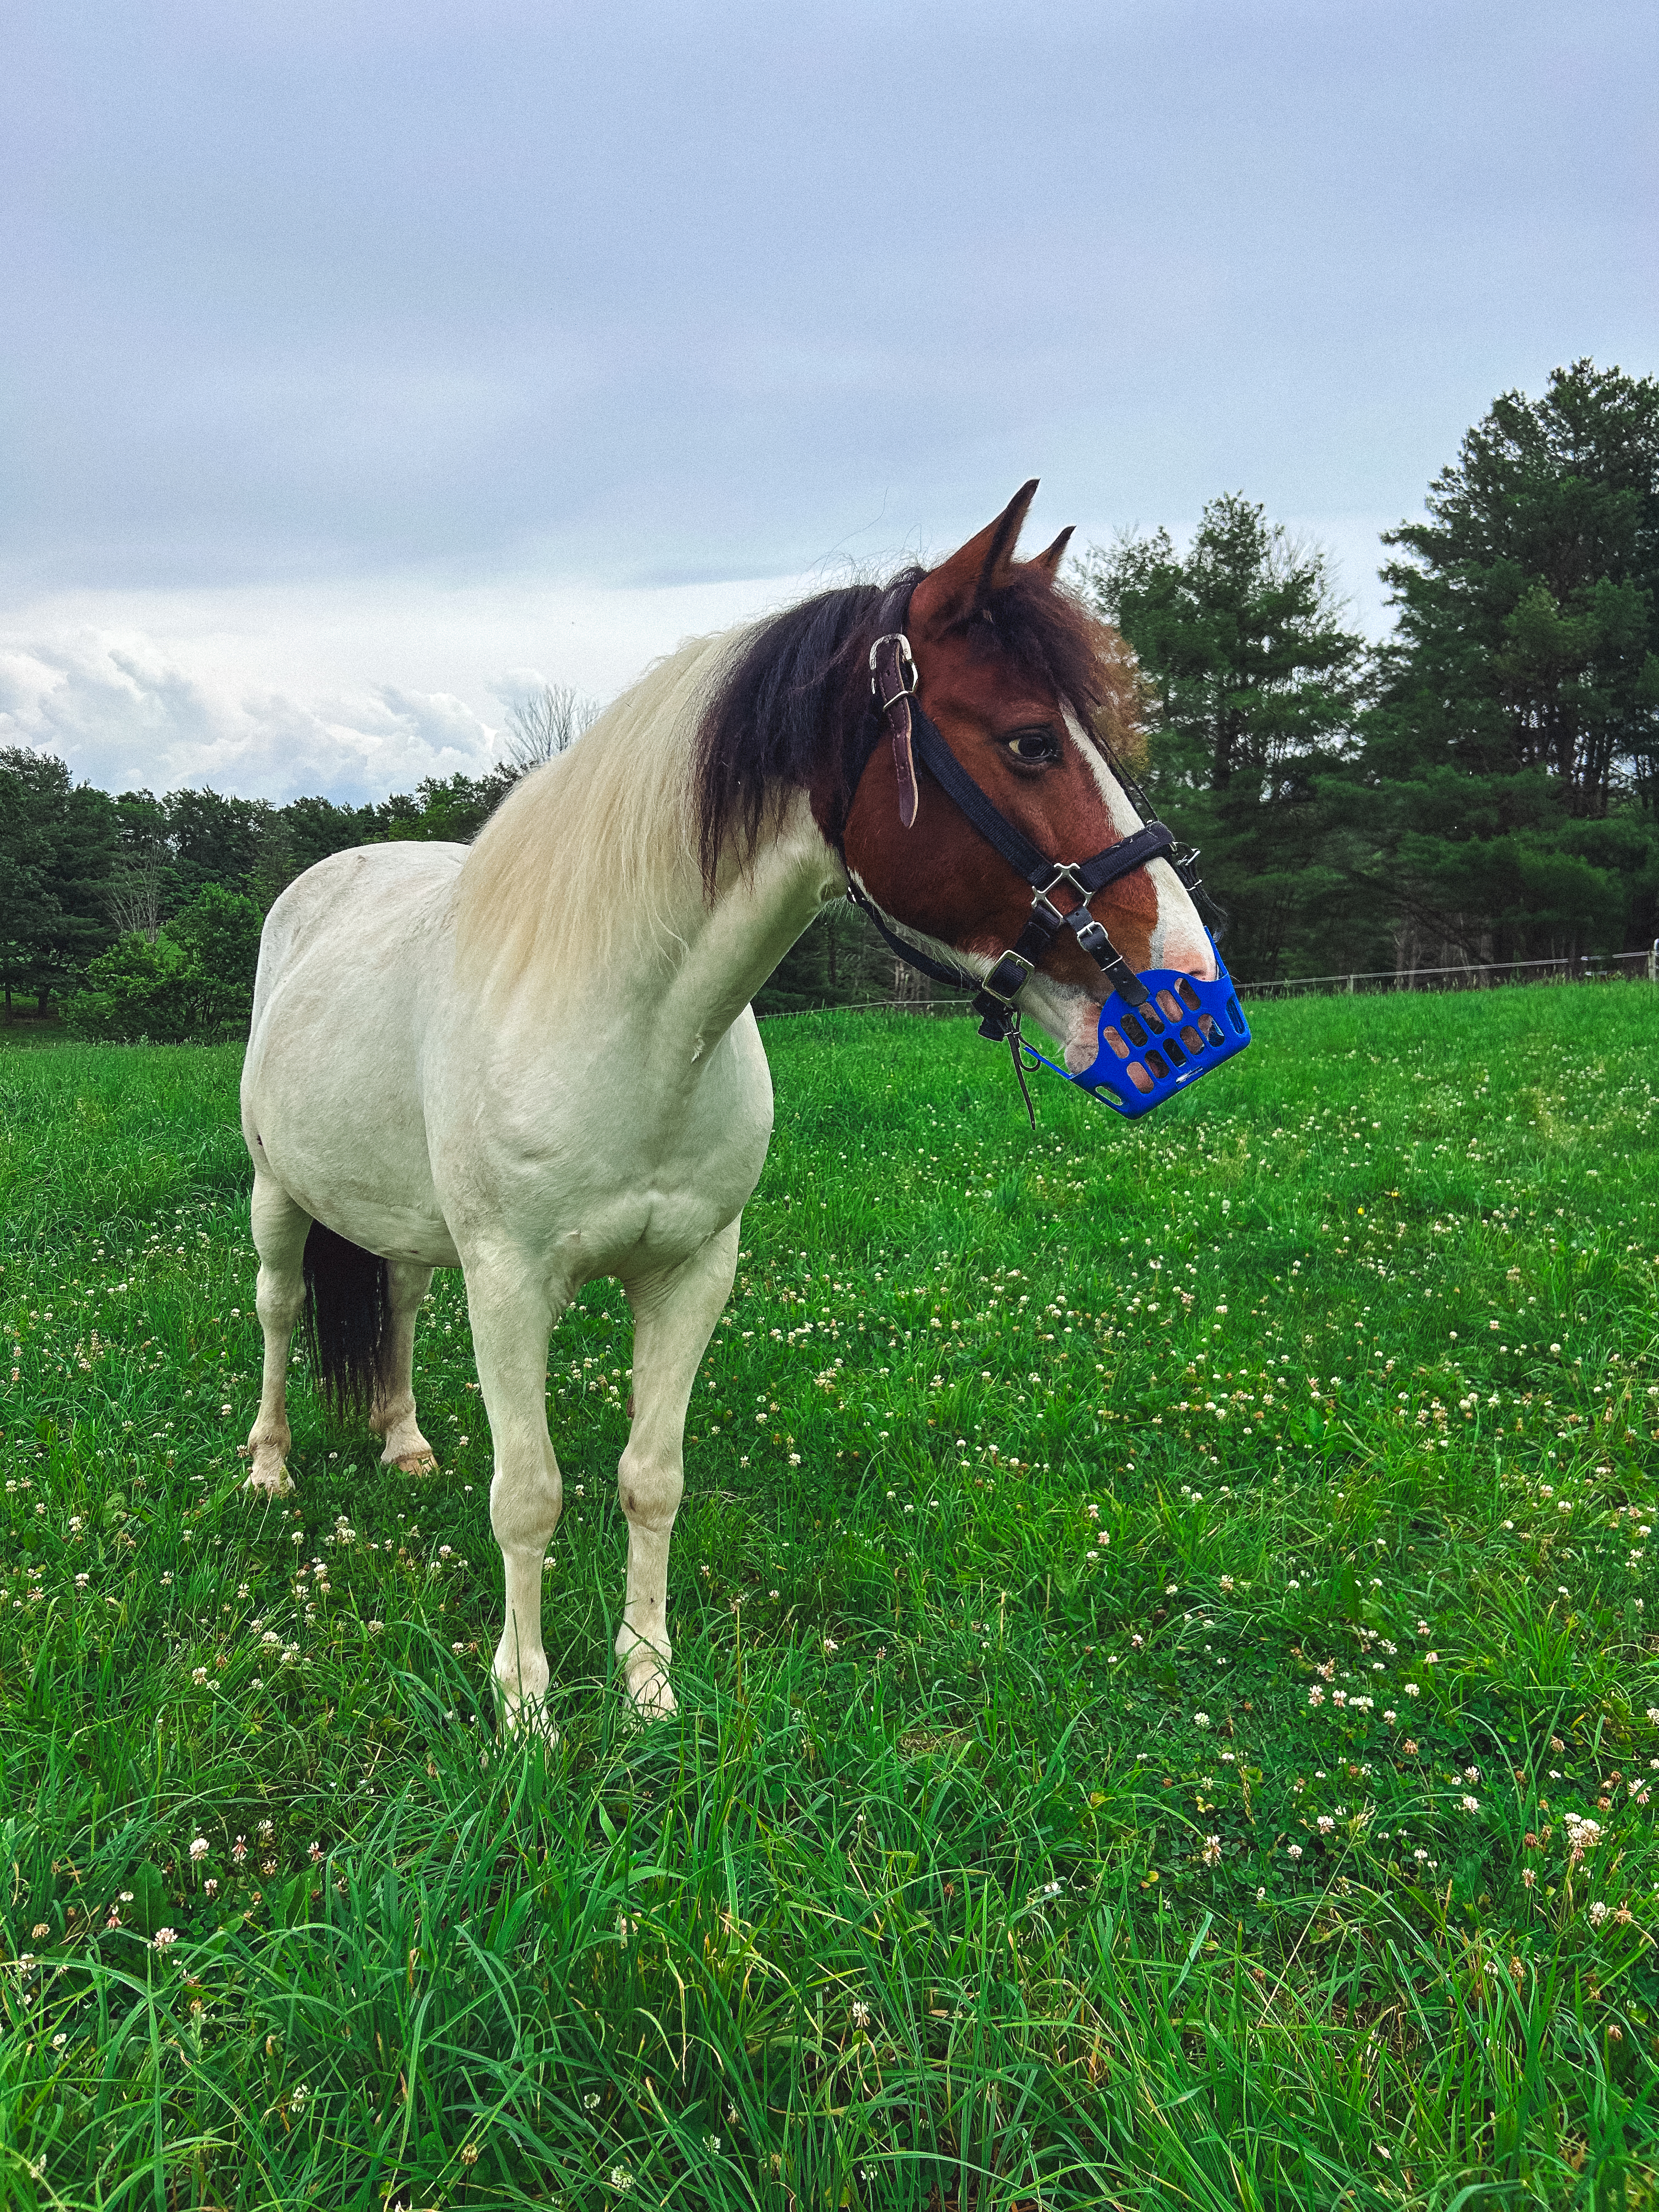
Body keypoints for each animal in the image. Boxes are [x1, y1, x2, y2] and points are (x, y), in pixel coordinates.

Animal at [239, 481, 1216, 1730]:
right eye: (1030, 741)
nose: (1190, 994)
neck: (633, 1029)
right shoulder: (510, 1283)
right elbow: (528, 1496)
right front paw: (526, 1710)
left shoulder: (692, 1271)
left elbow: (650, 1480)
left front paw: (647, 1685)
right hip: (276, 1195)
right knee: (276, 1313)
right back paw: (268, 1467)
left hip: (404, 1221)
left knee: (399, 1301)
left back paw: (403, 1443)